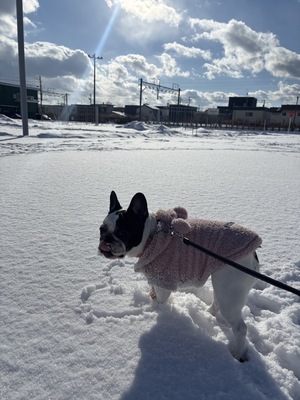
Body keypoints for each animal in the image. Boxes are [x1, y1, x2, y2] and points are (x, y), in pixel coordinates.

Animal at [98, 191, 260, 362]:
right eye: (101, 230)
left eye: (123, 233)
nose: (106, 240)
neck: (152, 236)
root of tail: (252, 253)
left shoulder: (163, 282)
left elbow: (161, 300)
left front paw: (160, 311)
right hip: (222, 284)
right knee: (217, 302)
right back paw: (208, 313)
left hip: (230, 289)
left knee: (240, 328)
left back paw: (238, 354)